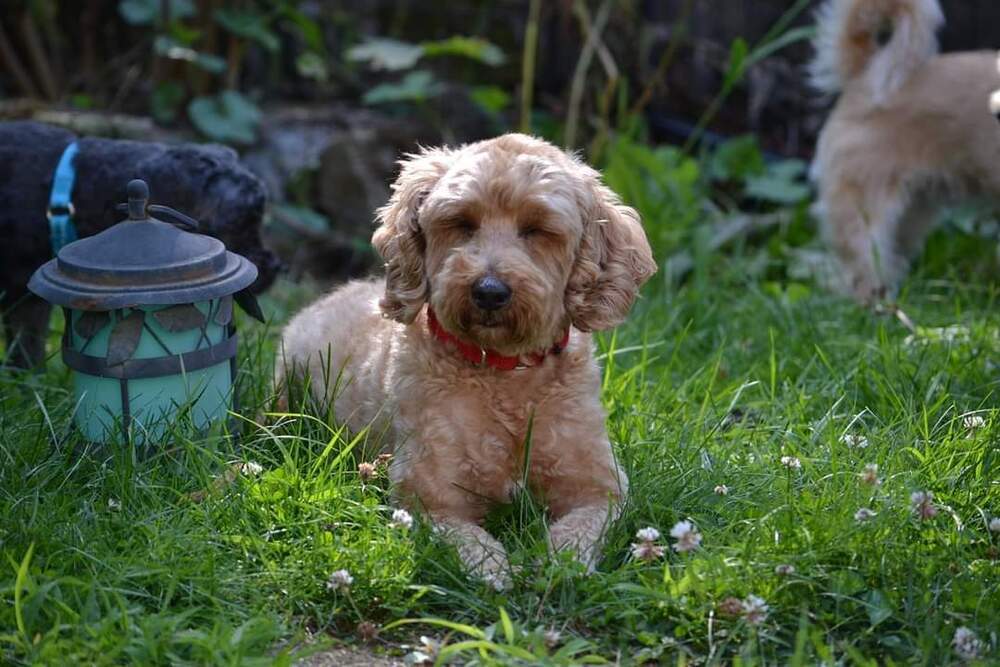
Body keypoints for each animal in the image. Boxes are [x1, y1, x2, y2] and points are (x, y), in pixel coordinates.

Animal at [0, 121, 282, 370]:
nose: (276, 267)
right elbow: (26, 351)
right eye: (240, 223)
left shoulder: (28, 301)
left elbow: (29, 348)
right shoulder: (23, 298)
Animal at [282, 136, 656, 588]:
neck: (505, 374)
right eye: (462, 222)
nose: (490, 291)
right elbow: (468, 539)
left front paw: (558, 563)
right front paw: (493, 568)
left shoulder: (600, 488)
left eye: (536, 228)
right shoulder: (429, 499)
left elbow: (579, 531)